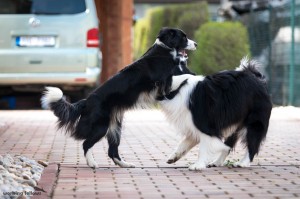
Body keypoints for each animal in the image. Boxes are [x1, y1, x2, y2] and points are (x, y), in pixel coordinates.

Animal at [41, 27, 197, 168]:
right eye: (183, 38)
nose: (196, 44)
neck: (164, 51)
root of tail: (86, 101)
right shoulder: (163, 85)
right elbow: (183, 77)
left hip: (115, 126)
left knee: (112, 150)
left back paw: (125, 164)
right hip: (101, 126)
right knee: (86, 143)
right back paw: (92, 163)